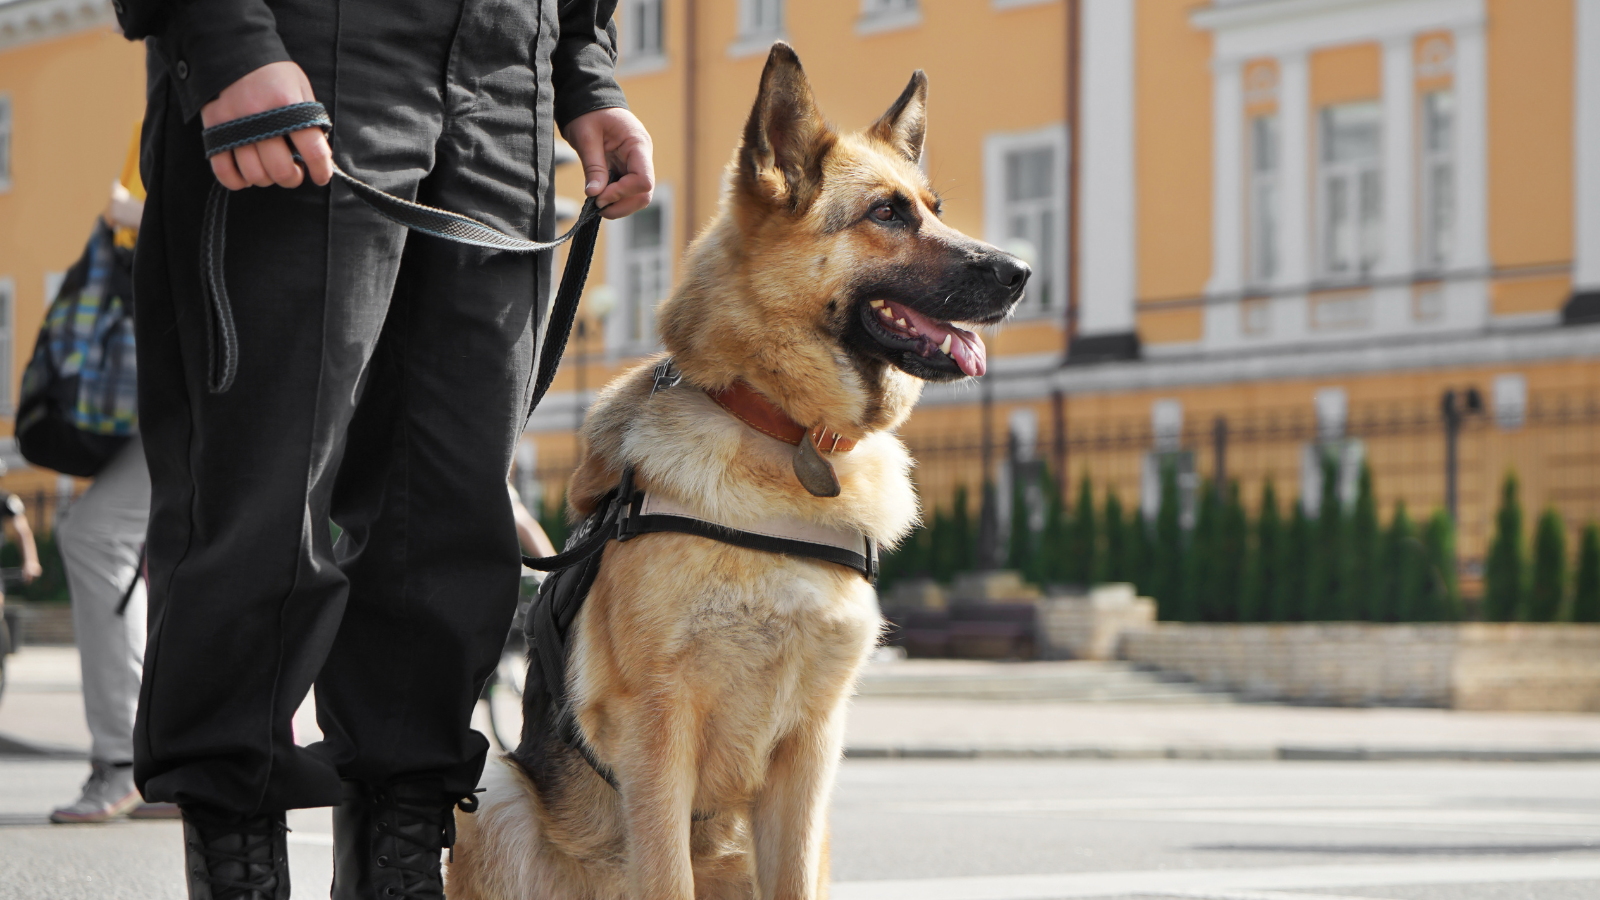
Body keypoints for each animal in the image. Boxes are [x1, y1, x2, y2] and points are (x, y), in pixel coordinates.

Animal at [448, 43, 1024, 896]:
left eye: (934, 206)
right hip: (493, 789)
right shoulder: (659, 736)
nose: (1022, 272)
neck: (783, 433)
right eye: (886, 215)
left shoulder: (811, 754)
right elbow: (664, 876)